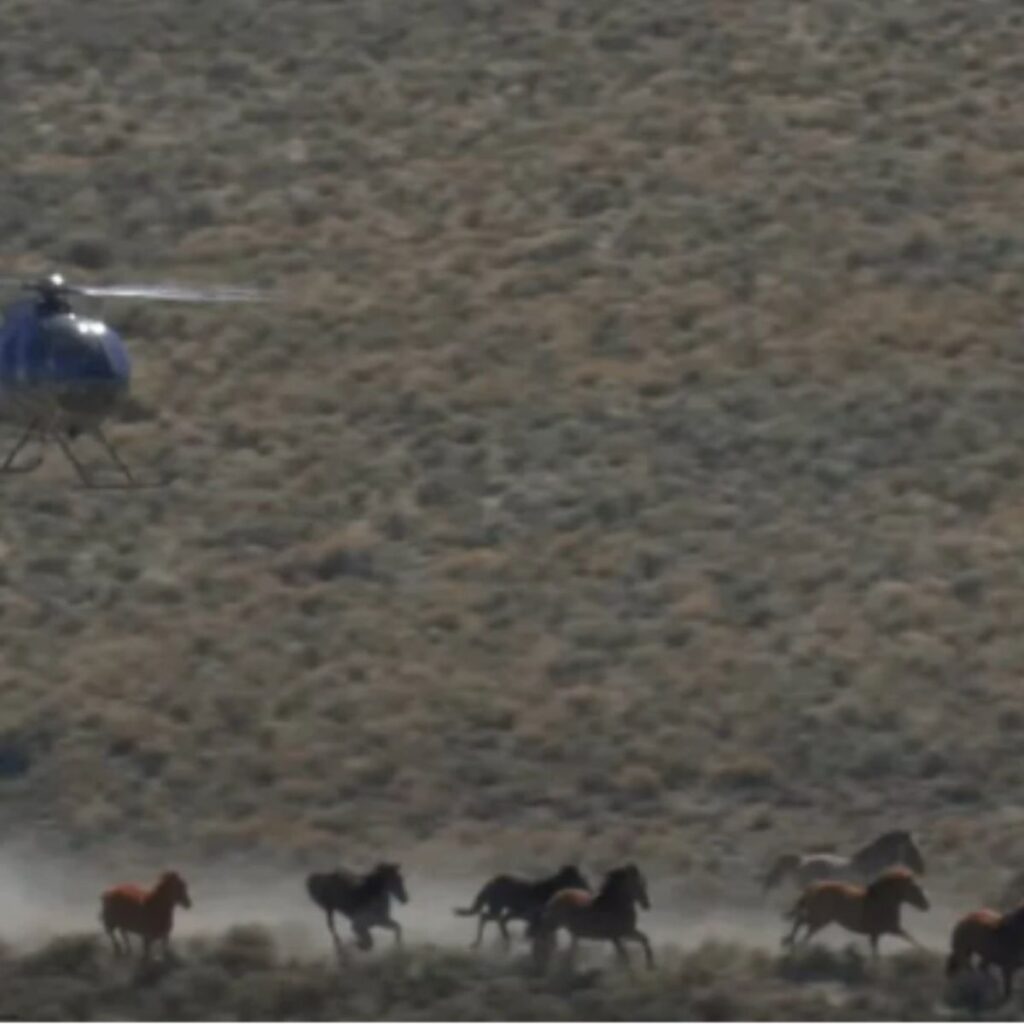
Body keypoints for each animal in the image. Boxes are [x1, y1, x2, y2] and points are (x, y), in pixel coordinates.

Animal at [453, 864, 590, 950]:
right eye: (580, 878)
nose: (588, 887)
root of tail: (491, 881)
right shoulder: (532, 917)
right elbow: (536, 933)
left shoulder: (527, 916)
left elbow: (543, 935)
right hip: (496, 908)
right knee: (485, 917)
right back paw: (481, 942)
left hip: (500, 909)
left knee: (496, 919)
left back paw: (504, 939)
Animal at [781, 865, 929, 957]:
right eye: (915, 888)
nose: (926, 905)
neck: (881, 901)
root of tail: (813, 887)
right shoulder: (892, 929)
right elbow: (910, 938)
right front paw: (924, 951)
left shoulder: (877, 933)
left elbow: (876, 952)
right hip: (821, 919)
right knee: (802, 923)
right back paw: (792, 942)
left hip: (820, 919)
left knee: (802, 923)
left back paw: (791, 942)